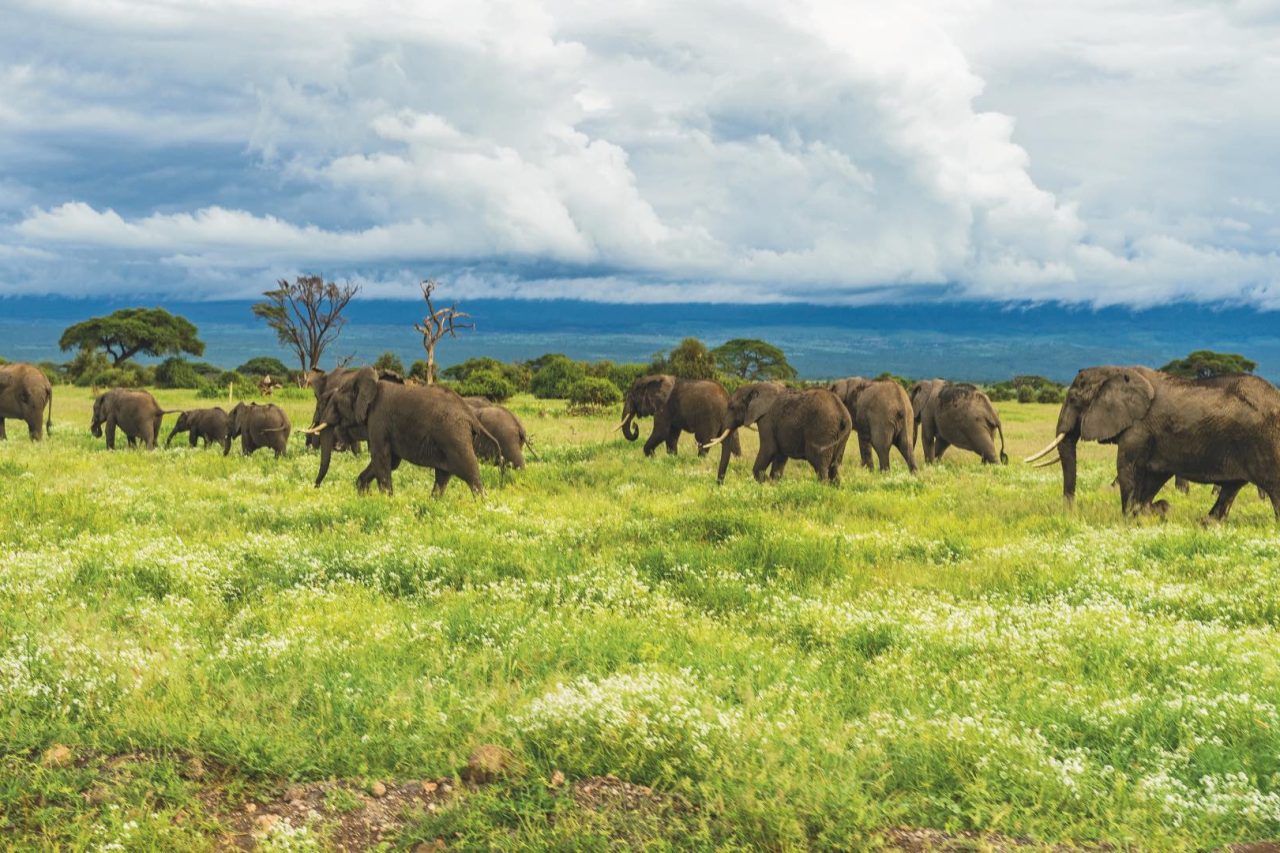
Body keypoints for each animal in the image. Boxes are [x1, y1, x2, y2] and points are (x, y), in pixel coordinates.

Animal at [300, 361, 499, 494]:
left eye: (335, 404)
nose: (316, 487)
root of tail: (471, 417)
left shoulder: (379, 418)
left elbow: (382, 459)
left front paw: (386, 500)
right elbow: (390, 462)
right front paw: (363, 493)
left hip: (455, 437)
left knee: (471, 475)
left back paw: (481, 504)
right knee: (443, 477)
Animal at [706, 379, 855, 481]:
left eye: (732, 407)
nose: (720, 484)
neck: (756, 386)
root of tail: (843, 413)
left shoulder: (767, 420)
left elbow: (769, 450)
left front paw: (766, 481)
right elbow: (780, 456)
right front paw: (773, 482)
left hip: (822, 430)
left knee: (820, 465)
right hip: (841, 436)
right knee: (834, 467)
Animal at [1024, 366, 1280, 517]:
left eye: (1074, 399)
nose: (1069, 513)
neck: (1114, 371)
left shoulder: (1139, 428)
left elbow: (1127, 469)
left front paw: (1130, 518)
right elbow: (1155, 475)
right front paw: (1154, 511)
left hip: (1264, 440)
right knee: (1231, 488)